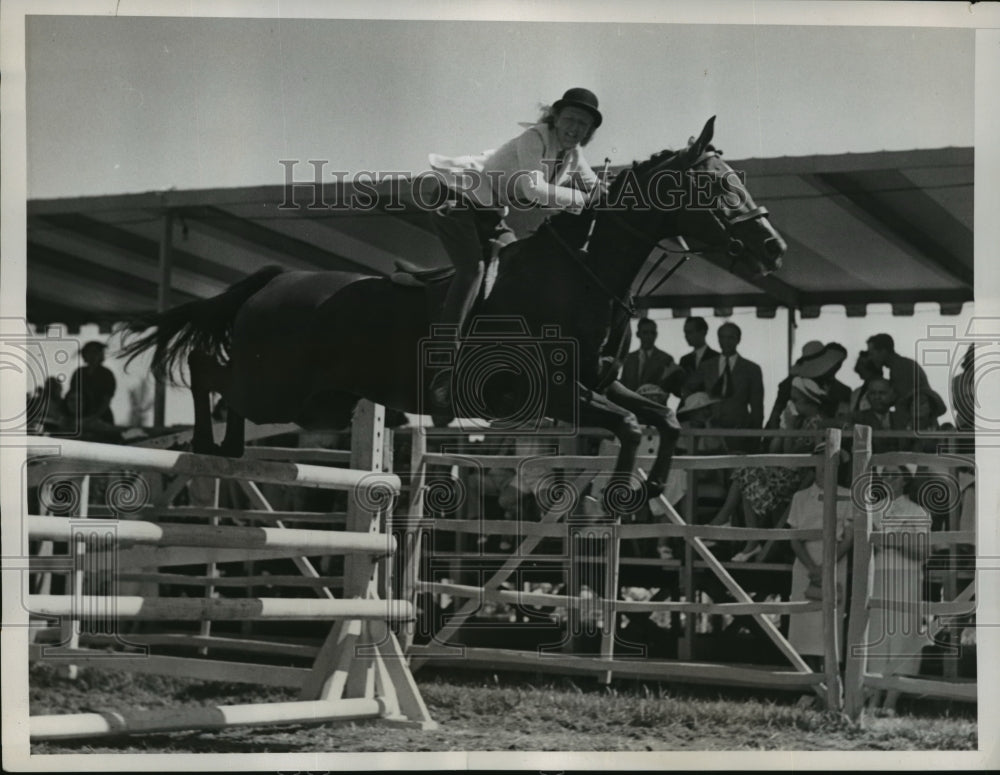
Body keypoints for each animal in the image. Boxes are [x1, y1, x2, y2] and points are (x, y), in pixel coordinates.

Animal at [121, 118, 784, 512]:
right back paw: (207, 442)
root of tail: (278, 279)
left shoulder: (599, 382)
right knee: (208, 369)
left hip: (315, 402)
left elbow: (662, 420)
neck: (579, 276)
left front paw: (649, 489)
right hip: (277, 386)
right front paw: (620, 495)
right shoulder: (551, 393)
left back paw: (230, 448)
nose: (773, 248)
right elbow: (626, 427)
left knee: (227, 387)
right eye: (716, 187)